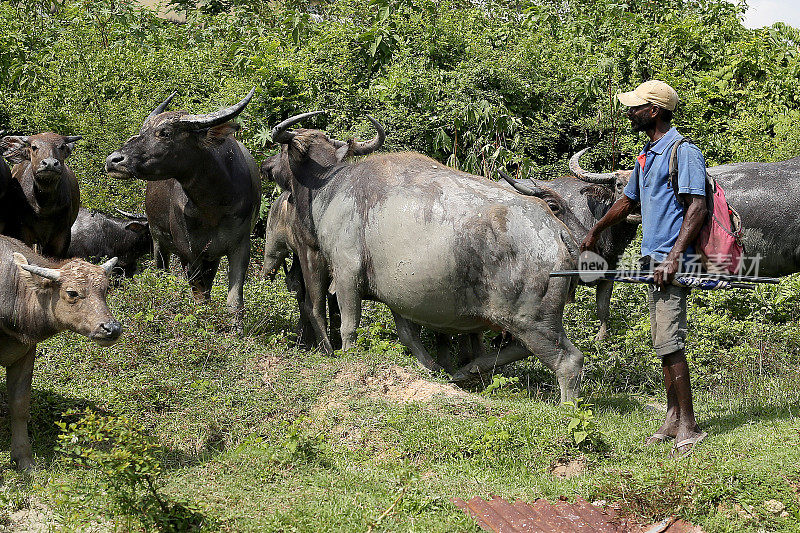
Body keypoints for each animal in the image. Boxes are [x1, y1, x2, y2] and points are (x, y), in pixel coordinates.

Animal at [0, 235, 122, 468]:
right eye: (72, 292)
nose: (112, 329)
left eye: (104, 290)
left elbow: (19, 405)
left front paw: (24, 459)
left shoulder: (26, 353)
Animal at [104, 89, 260, 326]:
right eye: (142, 131)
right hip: (159, 241)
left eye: (165, 132)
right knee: (161, 272)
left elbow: (234, 300)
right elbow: (199, 296)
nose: (113, 160)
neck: (213, 207)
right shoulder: (187, 251)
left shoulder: (239, 247)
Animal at [266, 113, 584, 404]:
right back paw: (468, 370)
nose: (267, 166)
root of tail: (557, 230)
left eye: (282, 151)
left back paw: (565, 406)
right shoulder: (398, 298)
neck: (331, 187)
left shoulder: (346, 276)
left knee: (569, 359)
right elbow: (409, 336)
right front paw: (432, 367)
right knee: (522, 348)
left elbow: (349, 326)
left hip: (532, 320)